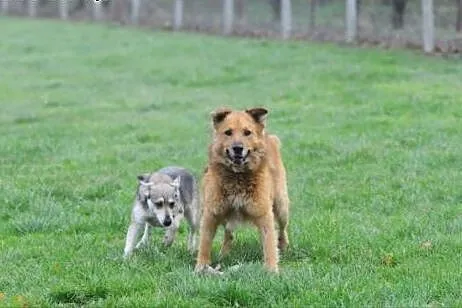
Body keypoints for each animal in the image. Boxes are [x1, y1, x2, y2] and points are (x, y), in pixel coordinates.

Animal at [195, 107, 288, 274]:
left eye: (247, 132)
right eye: (228, 132)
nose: (237, 148)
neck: (237, 176)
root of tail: (269, 137)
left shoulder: (264, 214)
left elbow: (269, 243)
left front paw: (271, 269)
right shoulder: (211, 213)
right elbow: (204, 243)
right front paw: (201, 267)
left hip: (281, 206)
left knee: (283, 229)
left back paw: (283, 245)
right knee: (228, 234)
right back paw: (224, 254)